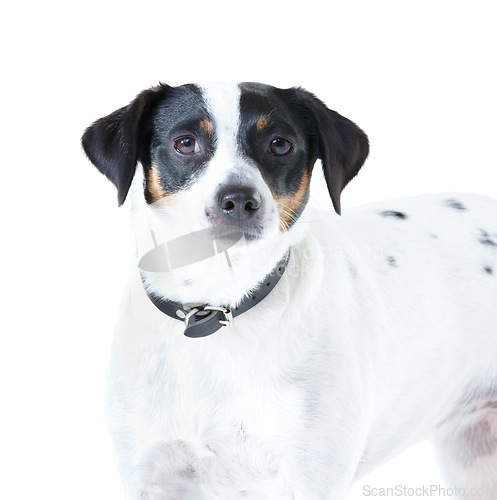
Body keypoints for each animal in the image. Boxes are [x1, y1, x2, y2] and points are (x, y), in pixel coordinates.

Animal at [82, 83, 496, 500]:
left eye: (279, 145)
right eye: (185, 143)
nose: (238, 200)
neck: (219, 306)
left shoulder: (312, 480)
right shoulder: (151, 477)